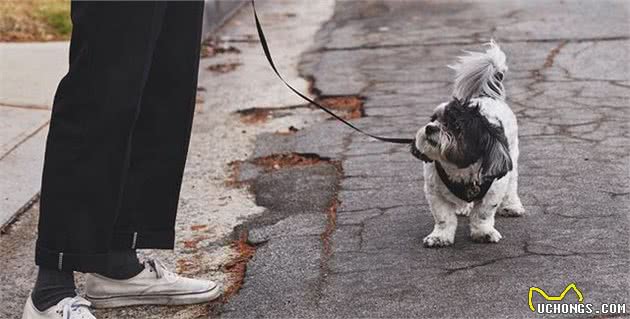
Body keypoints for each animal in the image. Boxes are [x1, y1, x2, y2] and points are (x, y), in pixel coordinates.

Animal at [412, 41, 524, 249]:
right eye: (434, 119)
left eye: (456, 126)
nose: (430, 128)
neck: (459, 167)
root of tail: (488, 97)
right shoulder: (434, 192)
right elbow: (443, 217)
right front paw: (440, 236)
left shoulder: (494, 190)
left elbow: (483, 214)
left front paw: (483, 233)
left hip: (512, 156)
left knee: (512, 185)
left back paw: (511, 206)